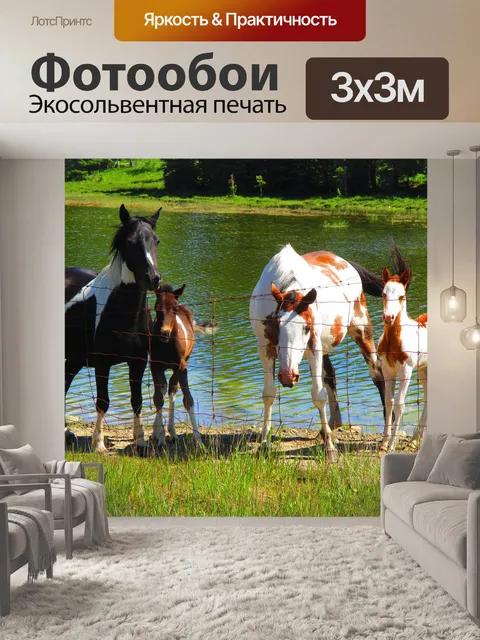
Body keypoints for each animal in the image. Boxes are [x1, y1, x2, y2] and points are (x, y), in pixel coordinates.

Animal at [65, 204, 162, 452]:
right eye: (130, 241)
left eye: (156, 240)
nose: (153, 278)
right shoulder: (102, 363)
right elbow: (103, 401)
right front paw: (98, 443)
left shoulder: (138, 362)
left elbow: (137, 401)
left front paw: (140, 440)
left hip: (75, 358)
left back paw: (67, 433)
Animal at [150, 284, 200, 446]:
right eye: (157, 307)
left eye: (174, 309)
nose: (164, 333)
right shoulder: (155, 366)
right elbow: (158, 399)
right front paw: (160, 439)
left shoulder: (182, 367)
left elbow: (188, 399)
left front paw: (198, 439)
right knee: (165, 389)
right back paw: (159, 432)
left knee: (172, 388)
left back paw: (172, 432)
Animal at [250, 244, 386, 460]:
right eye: (277, 325)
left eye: (306, 328)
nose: (288, 377)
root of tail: (346, 262)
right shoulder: (265, 346)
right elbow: (269, 394)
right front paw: (264, 444)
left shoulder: (314, 345)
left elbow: (318, 395)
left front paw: (330, 449)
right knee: (330, 375)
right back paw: (330, 426)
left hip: (361, 329)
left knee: (378, 374)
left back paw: (386, 436)